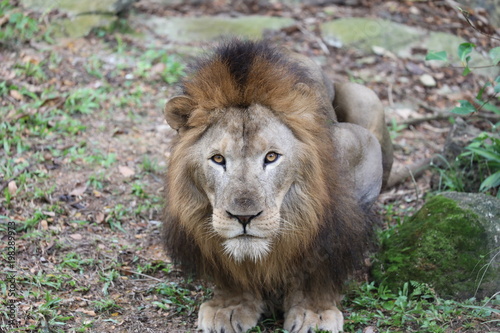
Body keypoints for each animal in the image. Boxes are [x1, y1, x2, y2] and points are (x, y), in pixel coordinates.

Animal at [162, 39, 392, 332]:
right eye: (218, 159)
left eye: (271, 157)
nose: (244, 217)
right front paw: (229, 306)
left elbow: (318, 264)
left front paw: (314, 313)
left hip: (365, 99)